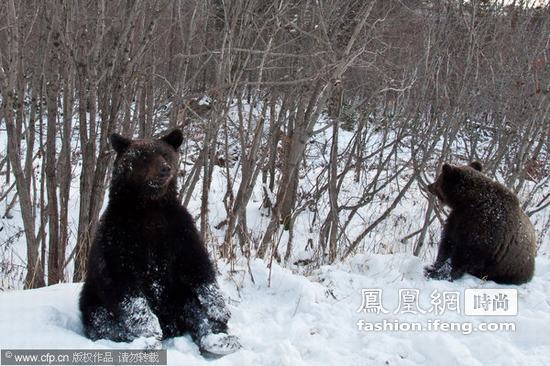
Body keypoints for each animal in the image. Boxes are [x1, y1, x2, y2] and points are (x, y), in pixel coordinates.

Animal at [79, 129, 242, 354]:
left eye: (165, 154)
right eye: (143, 156)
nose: (165, 169)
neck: (150, 207)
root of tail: (172, 327)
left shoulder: (178, 231)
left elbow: (199, 269)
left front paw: (219, 310)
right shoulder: (118, 237)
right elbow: (125, 287)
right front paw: (148, 330)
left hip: (177, 295)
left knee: (193, 306)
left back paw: (219, 339)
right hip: (93, 297)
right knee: (100, 320)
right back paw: (143, 341)